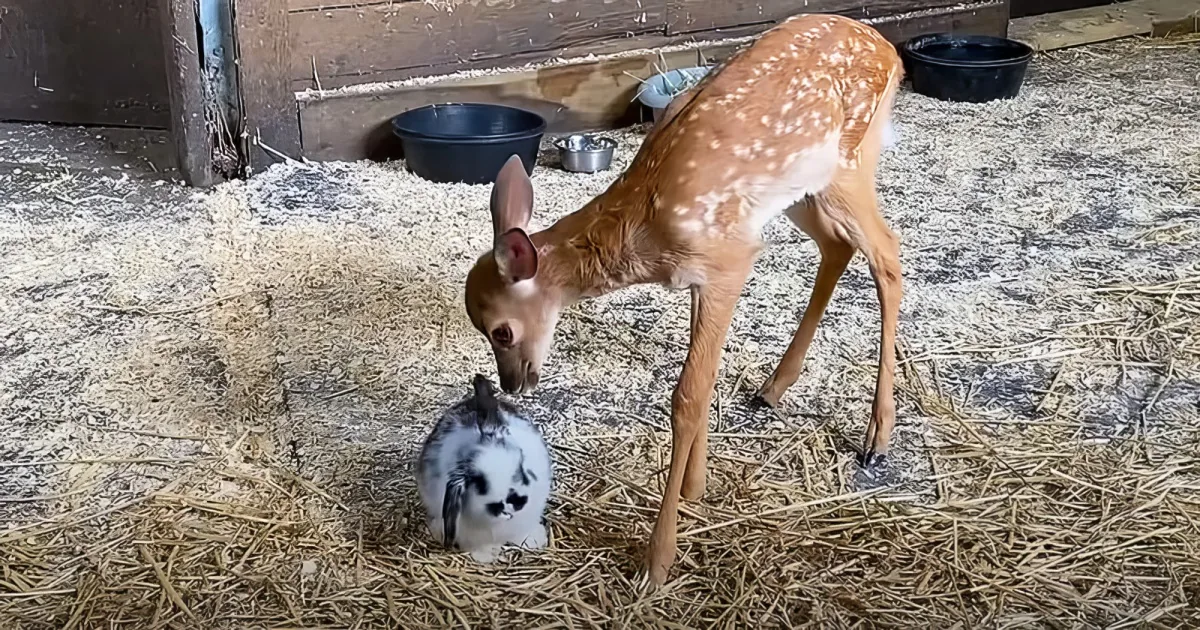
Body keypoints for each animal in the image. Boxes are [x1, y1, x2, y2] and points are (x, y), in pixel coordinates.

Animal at [463, 13, 904, 585]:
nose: (515, 383)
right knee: (838, 246)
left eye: (502, 330)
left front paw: (659, 557)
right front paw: (697, 486)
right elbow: (706, 379)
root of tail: (888, 48)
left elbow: (687, 397)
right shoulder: (701, 277)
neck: (643, 230)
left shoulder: (728, 260)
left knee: (887, 255)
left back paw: (877, 438)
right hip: (802, 190)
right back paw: (773, 388)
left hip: (848, 162)